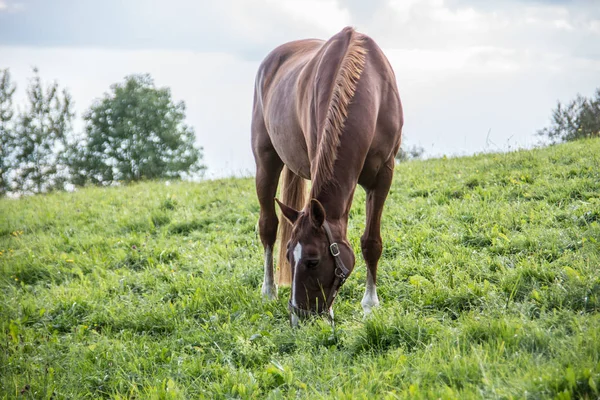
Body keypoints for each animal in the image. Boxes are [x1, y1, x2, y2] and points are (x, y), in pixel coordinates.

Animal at [248, 25, 404, 324]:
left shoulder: (383, 176)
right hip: (266, 162)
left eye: (313, 261)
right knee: (268, 226)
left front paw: (370, 305)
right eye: (289, 257)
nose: (298, 317)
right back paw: (268, 290)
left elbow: (371, 242)